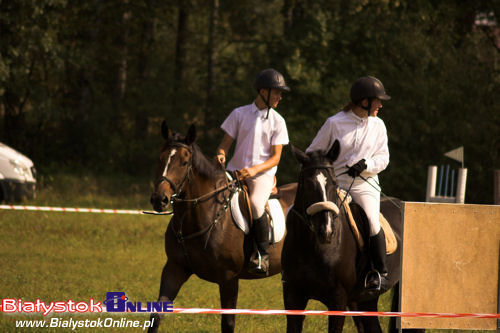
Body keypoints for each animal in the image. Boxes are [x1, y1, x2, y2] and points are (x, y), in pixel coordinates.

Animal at [148, 122, 296, 332]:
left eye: (184, 163)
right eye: (161, 159)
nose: (159, 200)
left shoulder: (228, 279)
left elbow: (228, 323)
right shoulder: (174, 268)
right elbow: (156, 316)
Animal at [282, 141, 414, 330]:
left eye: (334, 182)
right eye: (306, 184)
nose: (326, 230)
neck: (312, 247)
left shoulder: (338, 299)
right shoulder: (293, 297)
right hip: (365, 300)